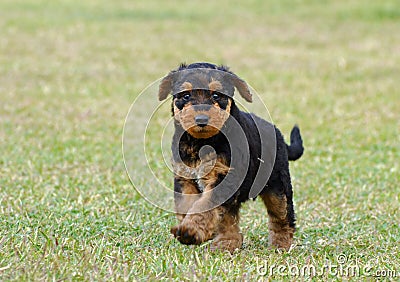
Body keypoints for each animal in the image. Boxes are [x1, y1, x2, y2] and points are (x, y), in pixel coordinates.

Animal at [159, 62, 304, 252]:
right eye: (186, 95)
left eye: (216, 94)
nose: (201, 119)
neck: (201, 142)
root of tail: (278, 135)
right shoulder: (185, 177)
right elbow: (188, 204)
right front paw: (193, 229)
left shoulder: (225, 176)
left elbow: (205, 205)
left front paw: (191, 231)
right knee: (230, 219)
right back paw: (226, 243)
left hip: (278, 185)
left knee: (282, 216)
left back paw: (280, 245)